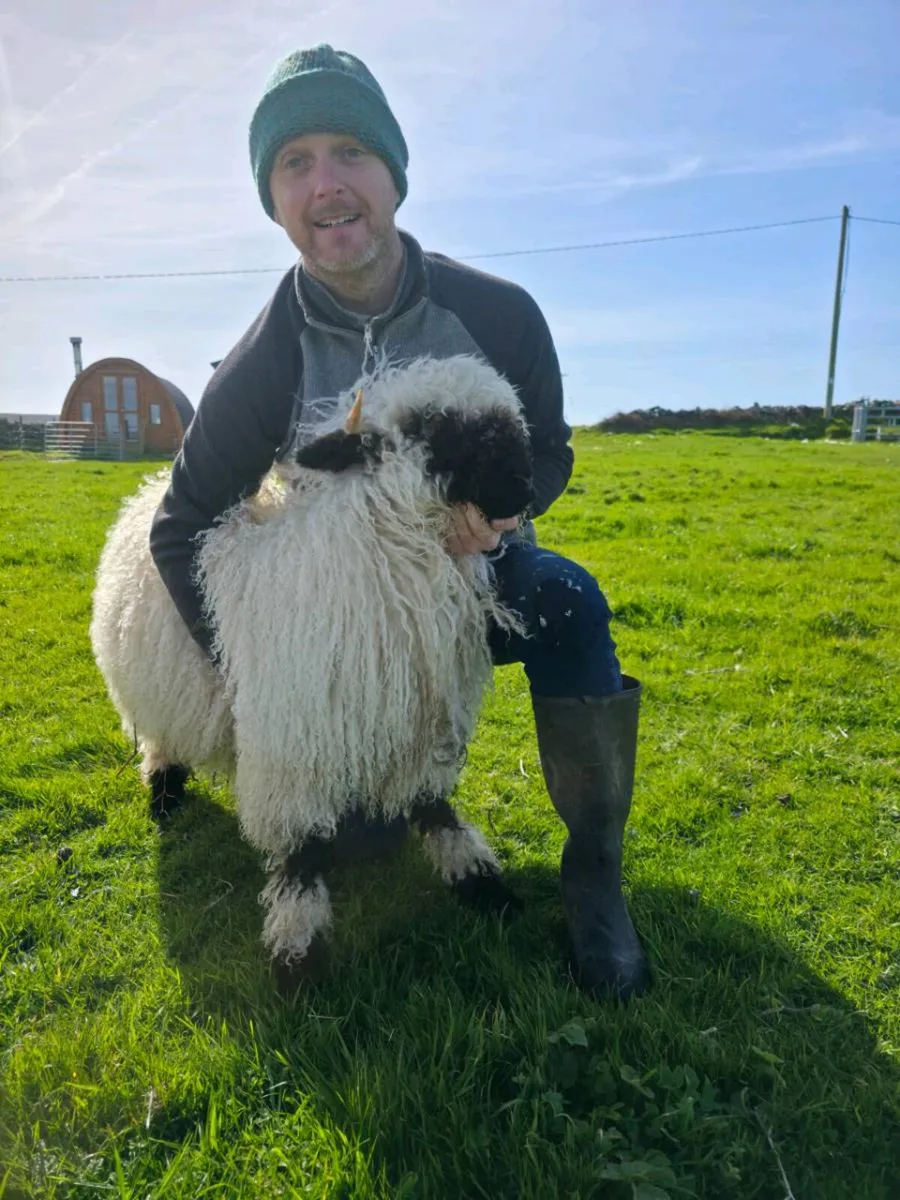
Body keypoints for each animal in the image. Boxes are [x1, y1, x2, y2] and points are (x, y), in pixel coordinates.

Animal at [90, 353, 535, 985]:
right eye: (431, 427)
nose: (523, 486)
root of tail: (147, 489)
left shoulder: (422, 723)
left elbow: (435, 806)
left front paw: (477, 877)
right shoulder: (292, 745)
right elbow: (300, 851)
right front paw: (297, 947)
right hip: (157, 690)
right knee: (160, 738)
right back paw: (164, 793)